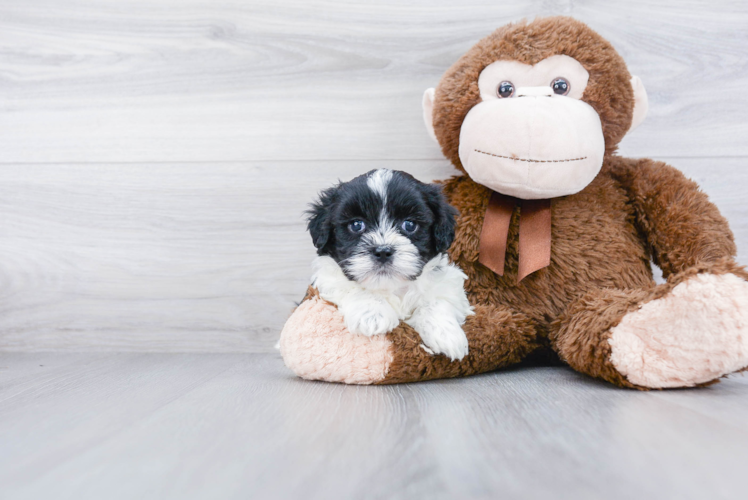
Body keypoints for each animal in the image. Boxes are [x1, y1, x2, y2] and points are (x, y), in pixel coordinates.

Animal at [306, 168, 470, 360]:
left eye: (409, 224)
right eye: (356, 225)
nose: (383, 251)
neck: (390, 287)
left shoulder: (448, 285)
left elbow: (438, 300)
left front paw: (446, 334)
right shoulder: (327, 280)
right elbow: (350, 286)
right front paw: (372, 314)